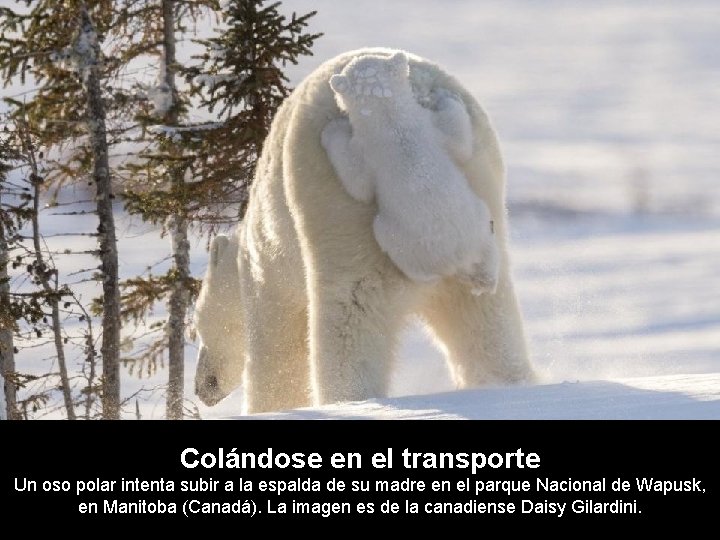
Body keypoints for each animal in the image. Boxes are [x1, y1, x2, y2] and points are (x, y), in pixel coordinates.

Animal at [321, 52, 499, 294]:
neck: (391, 120)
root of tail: (457, 259)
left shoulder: (378, 146)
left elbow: (359, 185)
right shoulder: (422, 130)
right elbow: (458, 140)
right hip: (467, 228)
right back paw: (485, 282)